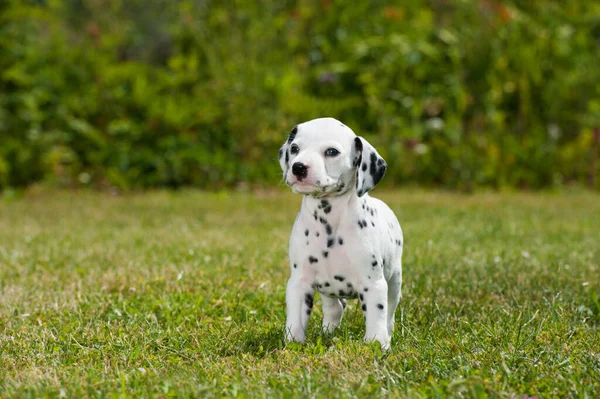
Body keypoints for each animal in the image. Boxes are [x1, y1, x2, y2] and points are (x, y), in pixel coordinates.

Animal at [278, 116, 404, 350]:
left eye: (331, 152)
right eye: (295, 148)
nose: (298, 167)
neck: (330, 224)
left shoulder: (373, 283)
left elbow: (376, 315)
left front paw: (377, 344)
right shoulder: (300, 281)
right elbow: (296, 318)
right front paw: (292, 342)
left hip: (395, 281)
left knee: (389, 314)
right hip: (328, 289)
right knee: (335, 308)